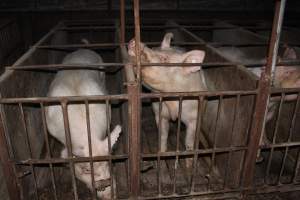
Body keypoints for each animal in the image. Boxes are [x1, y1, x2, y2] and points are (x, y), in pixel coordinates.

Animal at [127, 32, 207, 166]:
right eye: (153, 48)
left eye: (164, 59)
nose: (134, 41)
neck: (172, 101)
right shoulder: (159, 112)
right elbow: (163, 134)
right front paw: (161, 154)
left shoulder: (194, 116)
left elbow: (189, 140)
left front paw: (189, 163)